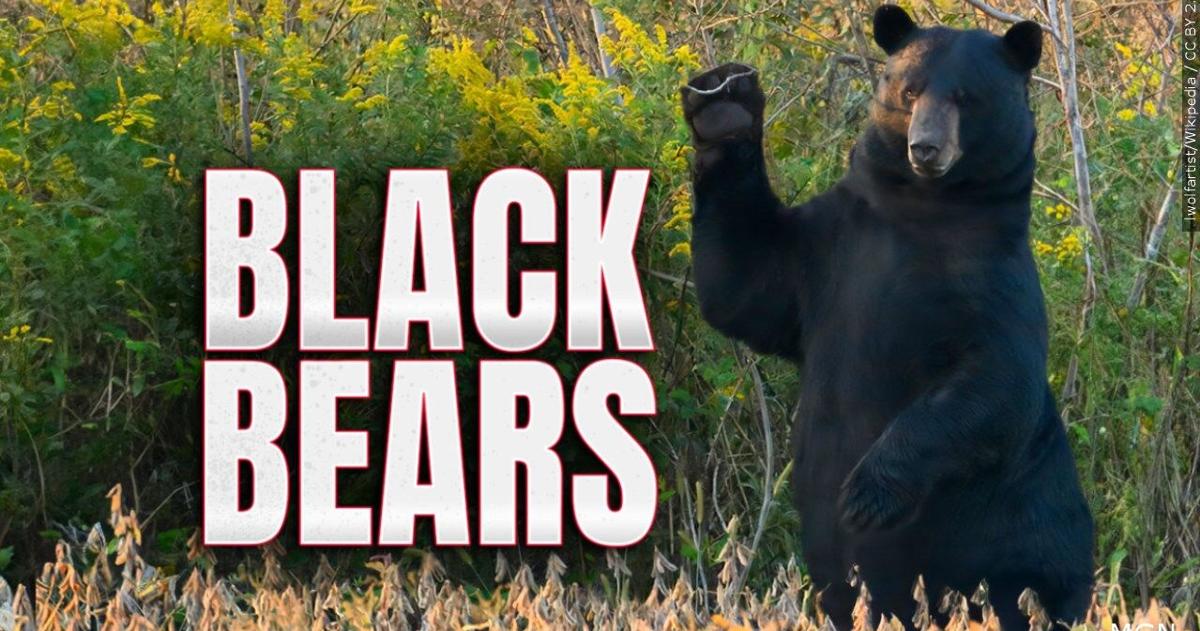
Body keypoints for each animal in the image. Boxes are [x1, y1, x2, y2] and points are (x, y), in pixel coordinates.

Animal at [680, 6, 1094, 630]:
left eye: (966, 98)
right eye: (909, 89)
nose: (925, 148)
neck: (922, 208)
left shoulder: (996, 284)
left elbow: (995, 384)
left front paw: (865, 495)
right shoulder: (828, 249)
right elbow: (746, 283)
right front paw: (724, 104)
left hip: (1032, 535)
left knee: (1028, 590)